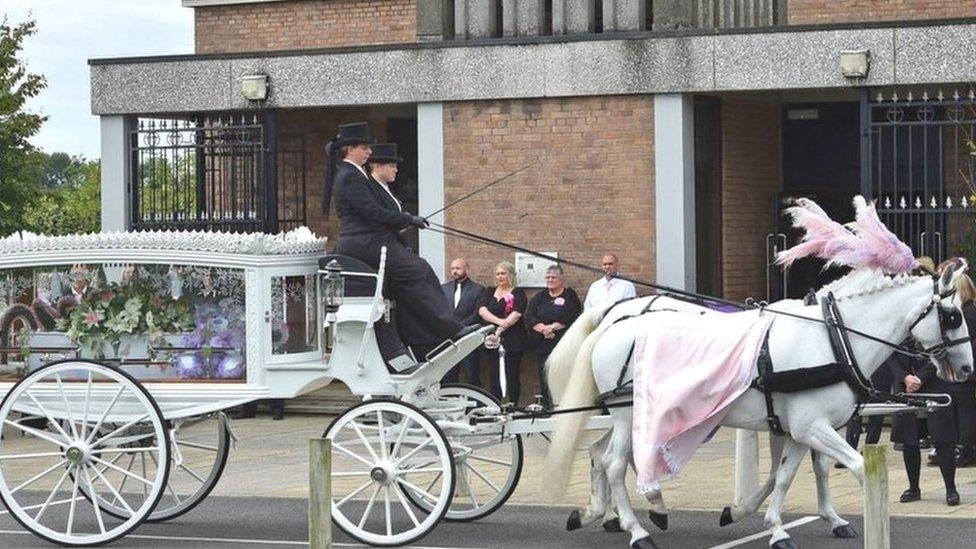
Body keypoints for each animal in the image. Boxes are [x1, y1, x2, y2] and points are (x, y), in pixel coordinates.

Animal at [544, 264, 972, 544]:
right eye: (952, 315)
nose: (968, 367)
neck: (832, 339)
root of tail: (612, 323)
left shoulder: (804, 429)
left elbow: (788, 475)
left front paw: (779, 522)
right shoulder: (810, 426)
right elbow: (854, 466)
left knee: (601, 456)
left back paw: (603, 513)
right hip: (627, 414)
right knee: (615, 463)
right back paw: (636, 529)